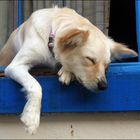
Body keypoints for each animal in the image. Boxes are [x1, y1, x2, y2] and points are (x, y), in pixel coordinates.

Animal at [0, 7, 138, 134]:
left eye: (107, 66)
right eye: (90, 59)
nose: (104, 86)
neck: (50, 36)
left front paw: (66, 72)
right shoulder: (15, 66)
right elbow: (36, 86)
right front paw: (32, 116)